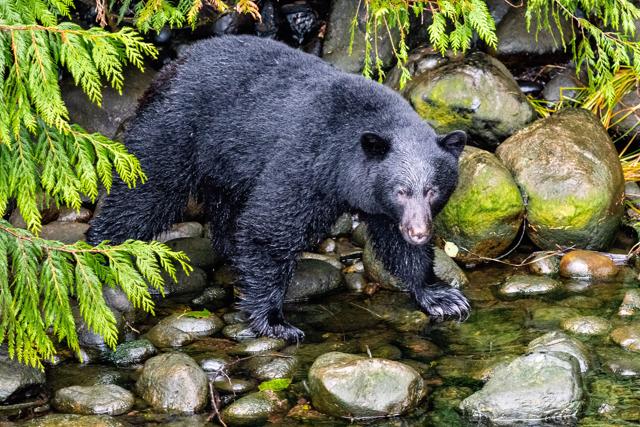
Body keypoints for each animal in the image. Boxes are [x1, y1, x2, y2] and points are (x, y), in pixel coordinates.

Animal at [87, 35, 470, 341]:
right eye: (401, 190)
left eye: (433, 190)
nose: (420, 232)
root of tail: (171, 67)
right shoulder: (306, 162)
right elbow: (270, 227)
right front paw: (274, 321)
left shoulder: (381, 207)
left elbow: (396, 244)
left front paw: (440, 296)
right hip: (176, 130)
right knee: (146, 193)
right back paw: (103, 249)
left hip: (225, 163)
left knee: (225, 208)